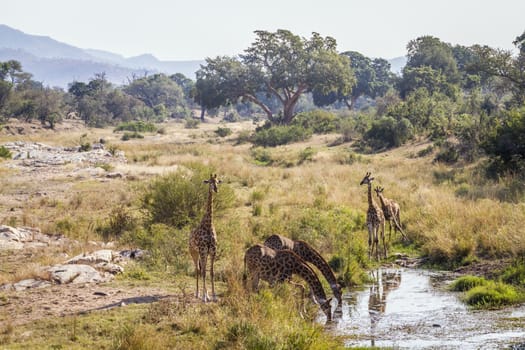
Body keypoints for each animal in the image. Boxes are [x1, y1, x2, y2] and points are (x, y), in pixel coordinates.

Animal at [188, 174, 221, 302]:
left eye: (217, 181)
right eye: (210, 182)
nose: (216, 189)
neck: (208, 224)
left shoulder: (212, 251)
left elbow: (211, 272)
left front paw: (214, 296)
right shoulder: (202, 250)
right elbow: (203, 272)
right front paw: (203, 297)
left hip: (203, 253)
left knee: (202, 269)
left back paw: (205, 294)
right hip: (194, 252)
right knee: (198, 270)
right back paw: (198, 294)